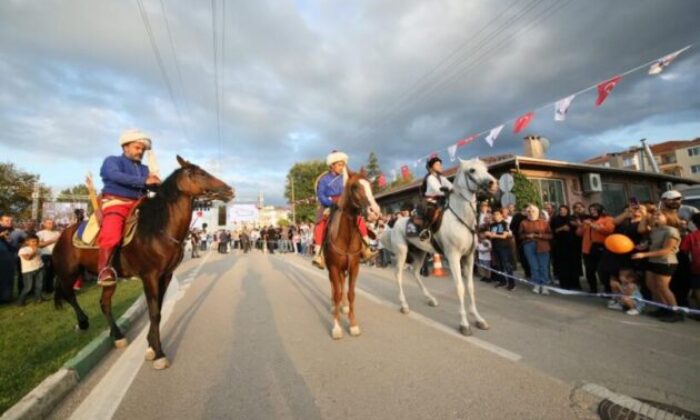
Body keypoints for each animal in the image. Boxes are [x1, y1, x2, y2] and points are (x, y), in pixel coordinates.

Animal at [54, 154, 235, 368]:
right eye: (199, 173)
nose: (229, 190)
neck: (158, 228)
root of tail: (63, 234)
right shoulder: (150, 276)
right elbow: (154, 312)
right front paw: (158, 353)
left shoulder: (165, 275)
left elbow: (158, 310)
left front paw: (150, 346)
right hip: (68, 272)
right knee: (69, 294)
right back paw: (83, 322)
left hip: (108, 279)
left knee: (104, 303)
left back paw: (117, 336)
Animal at [324, 169, 380, 340]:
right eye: (355, 187)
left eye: (370, 185)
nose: (375, 212)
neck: (346, 236)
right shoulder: (334, 267)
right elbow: (336, 293)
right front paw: (336, 327)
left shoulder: (354, 267)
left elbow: (351, 294)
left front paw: (353, 324)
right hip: (332, 269)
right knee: (334, 287)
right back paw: (334, 306)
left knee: (342, 285)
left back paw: (344, 307)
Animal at [382, 159, 498, 336]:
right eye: (472, 170)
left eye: (485, 168)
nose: (492, 183)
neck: (461, 218)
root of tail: (394, 223)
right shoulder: (453, 256)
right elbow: (460, 288)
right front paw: (464, 324)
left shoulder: (469, 256)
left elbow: (470, 287)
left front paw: (479, 319)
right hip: (402, 252)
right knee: (398, 275)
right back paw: (404, 305)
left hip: (420, 253)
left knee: (415, 273)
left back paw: (430, 299)